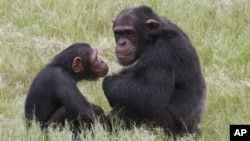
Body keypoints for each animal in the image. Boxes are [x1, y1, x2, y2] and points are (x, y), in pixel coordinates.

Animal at [102, 5, 207, 137]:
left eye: (129, 33)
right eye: (118, 33)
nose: (122, 43)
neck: (154, 37)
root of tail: (193, 132)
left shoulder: (163, 52)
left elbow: (152, 94)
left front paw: (107, 82)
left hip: (169, 130)